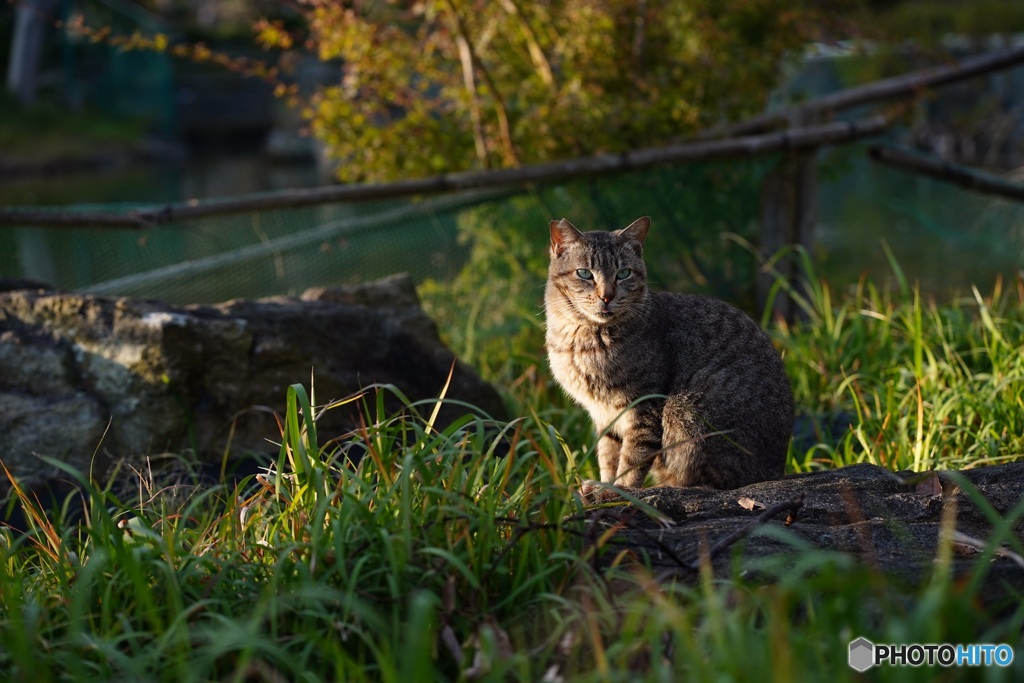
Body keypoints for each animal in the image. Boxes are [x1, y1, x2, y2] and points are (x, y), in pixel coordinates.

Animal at [544, 218, 790, 491]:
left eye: (623, 273)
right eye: (585, 273)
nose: (606, 296)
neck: (581, 338)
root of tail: (775, 470)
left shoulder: (644, 404)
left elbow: (632, 459)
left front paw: (620, 491)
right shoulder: (603, 414)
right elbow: (608, 457)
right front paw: (607, 485)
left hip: (683, 409)